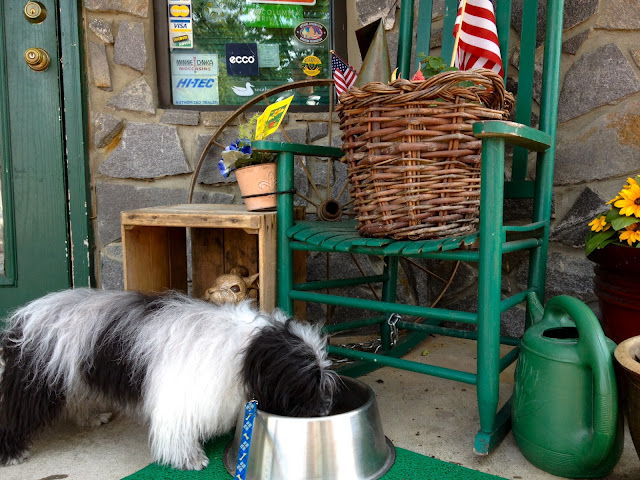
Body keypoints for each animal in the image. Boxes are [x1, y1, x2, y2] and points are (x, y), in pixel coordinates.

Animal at [0, 288, 338, 468]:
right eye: (306, 385)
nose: (324, 411)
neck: (245, 349)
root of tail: (26, 314)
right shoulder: (180, 398)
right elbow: (176, 432)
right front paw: (190, 459)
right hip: (33, 379)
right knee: (12, 413)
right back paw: (12, 452)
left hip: (74, 373)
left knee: (78, 399)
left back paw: (91, 416)